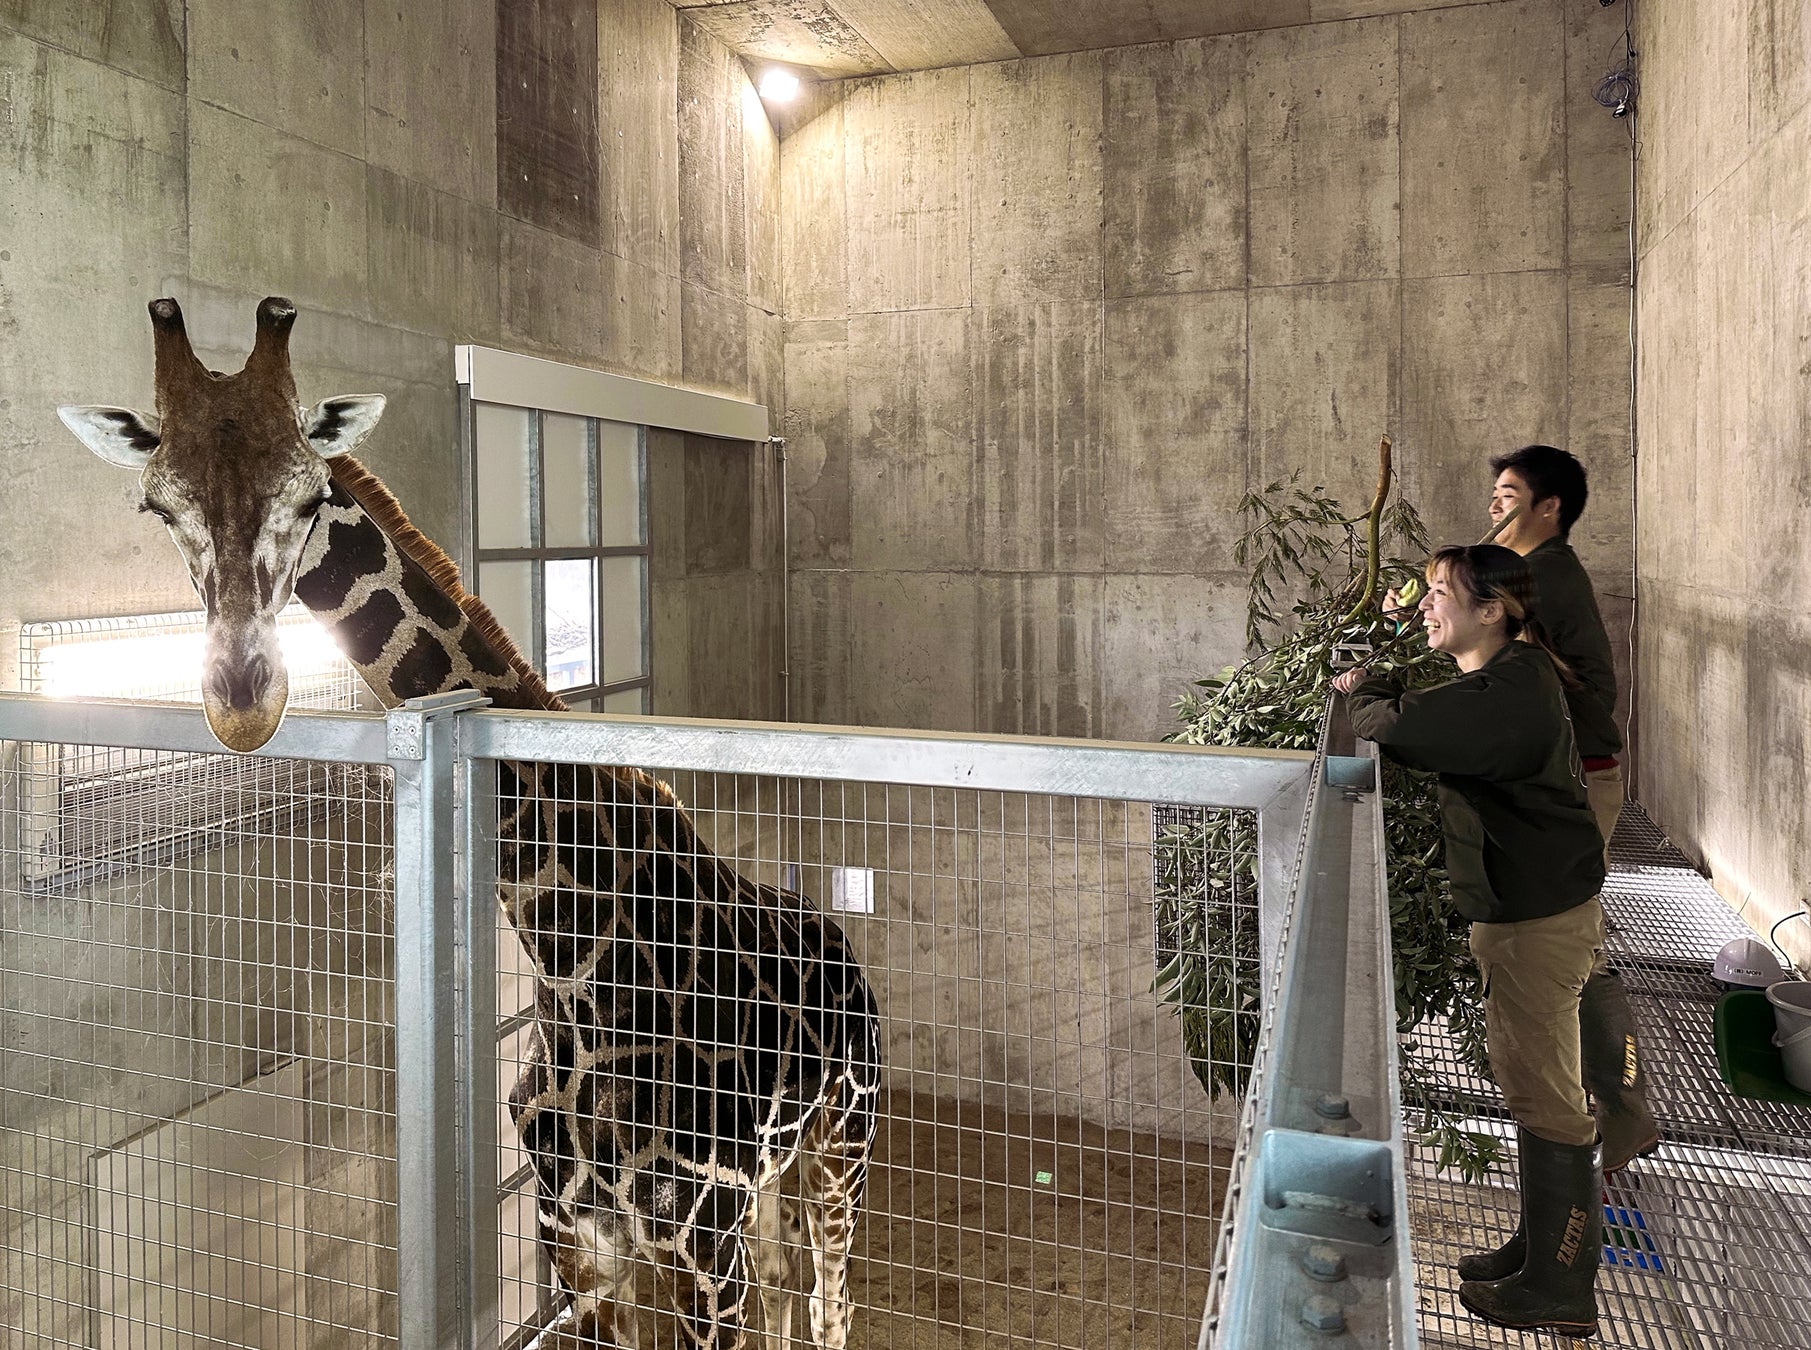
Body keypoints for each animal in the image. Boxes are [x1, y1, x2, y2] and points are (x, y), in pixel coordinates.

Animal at [67, 297, 887, 1348]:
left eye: (307, 494)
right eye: (159, 506)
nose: (240, 701)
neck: (569, 966)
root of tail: (843, 943)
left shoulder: (706, 1246)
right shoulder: (576, 1242)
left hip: (838, 1150)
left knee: (829, 1302)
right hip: (773, 1195)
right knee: (796, 1296)